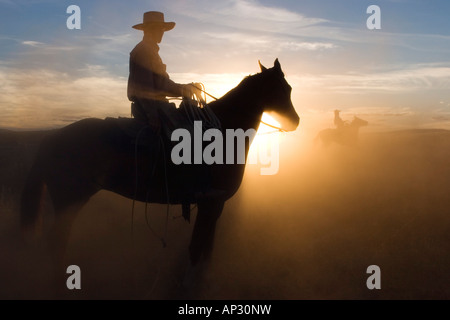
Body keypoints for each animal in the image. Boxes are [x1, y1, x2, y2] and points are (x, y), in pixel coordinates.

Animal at [20, 58, 298, 274]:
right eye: (284, 88)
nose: (295, 121)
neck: (224, 132)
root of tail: (51, 138)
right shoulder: (209, 203)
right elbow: (196, 250)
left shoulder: (216, 205)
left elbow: (207, 250)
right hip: (69, 200)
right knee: (57, 242)